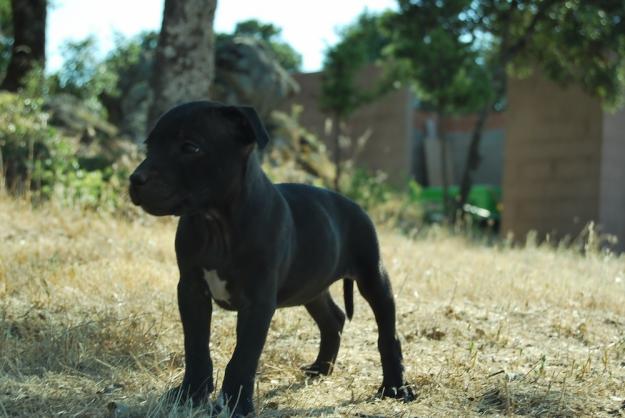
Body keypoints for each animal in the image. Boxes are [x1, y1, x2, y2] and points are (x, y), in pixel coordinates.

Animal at [129, 100, 414, 414]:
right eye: (149, 146)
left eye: (190, 147)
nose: (135, 179)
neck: (216, 222)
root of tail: (354, 204)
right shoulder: (191, 291)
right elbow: (196, 346)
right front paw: (191, 393)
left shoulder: (257, 302)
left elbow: (243, 356)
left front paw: (237, 404)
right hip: (312, 287)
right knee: (334, 319)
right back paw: (321, 368)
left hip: (373, 276)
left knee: (388, 334)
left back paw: (395, 387)